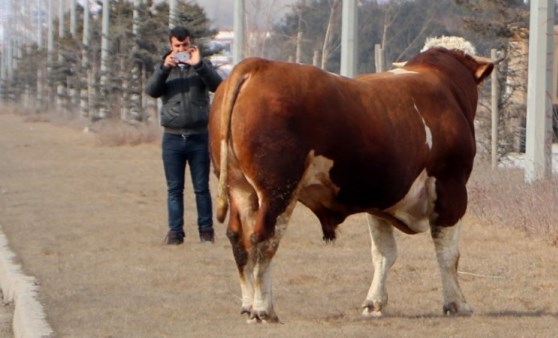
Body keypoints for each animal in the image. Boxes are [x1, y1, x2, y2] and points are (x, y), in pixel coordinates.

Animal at [210, 41, 498, 324]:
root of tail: (259, 65)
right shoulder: (451, 188)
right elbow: (448, 253)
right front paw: (457, 303)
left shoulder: (382, 199)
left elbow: (383, 253)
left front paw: (374, 303)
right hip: (277, 192)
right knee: (263, 240)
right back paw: (263, 309)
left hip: (240, 188)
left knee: (239, 239)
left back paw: (248, 305)